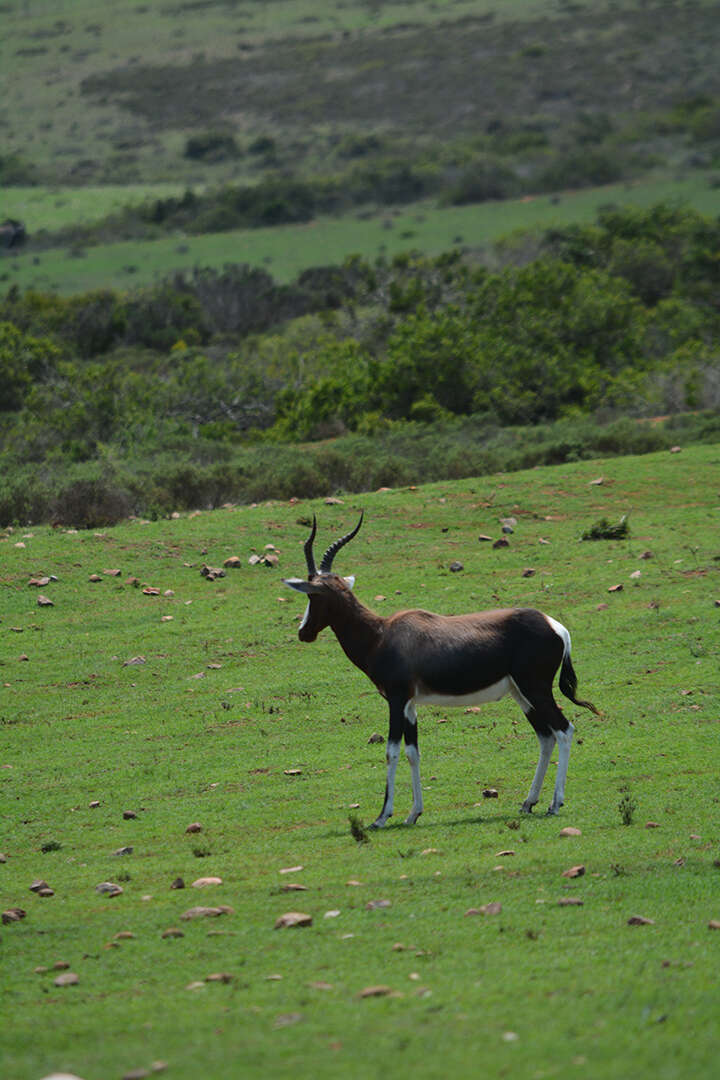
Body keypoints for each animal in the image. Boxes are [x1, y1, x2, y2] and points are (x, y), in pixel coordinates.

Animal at [284, 514, 600, 825]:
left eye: (312, 596)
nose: (303, 633)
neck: (381, 634)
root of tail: (555, 626)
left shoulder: (396, 700)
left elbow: (391, 751)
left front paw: (382, 816)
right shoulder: (410, 703)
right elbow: (413, 752)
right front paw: (413, 813)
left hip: (535, 689)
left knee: (564, 730)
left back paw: (554, 804)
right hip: (521, 694)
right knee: (546, 736)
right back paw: (528, 803)